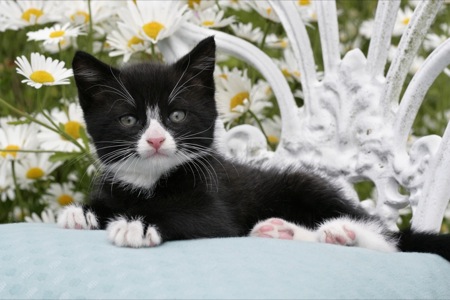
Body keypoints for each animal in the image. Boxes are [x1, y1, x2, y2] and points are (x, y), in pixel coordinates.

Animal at [58, 37, 450, 260]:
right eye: (128, 120)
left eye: (176, 115)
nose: (155, 140)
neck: (149, 181)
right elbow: (109, 205)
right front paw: (83, 212)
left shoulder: (216, 207)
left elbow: (190, 217)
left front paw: (137, 226)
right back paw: (283, 232)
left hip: (308, 186)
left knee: (392, 241)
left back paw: (342, 233)